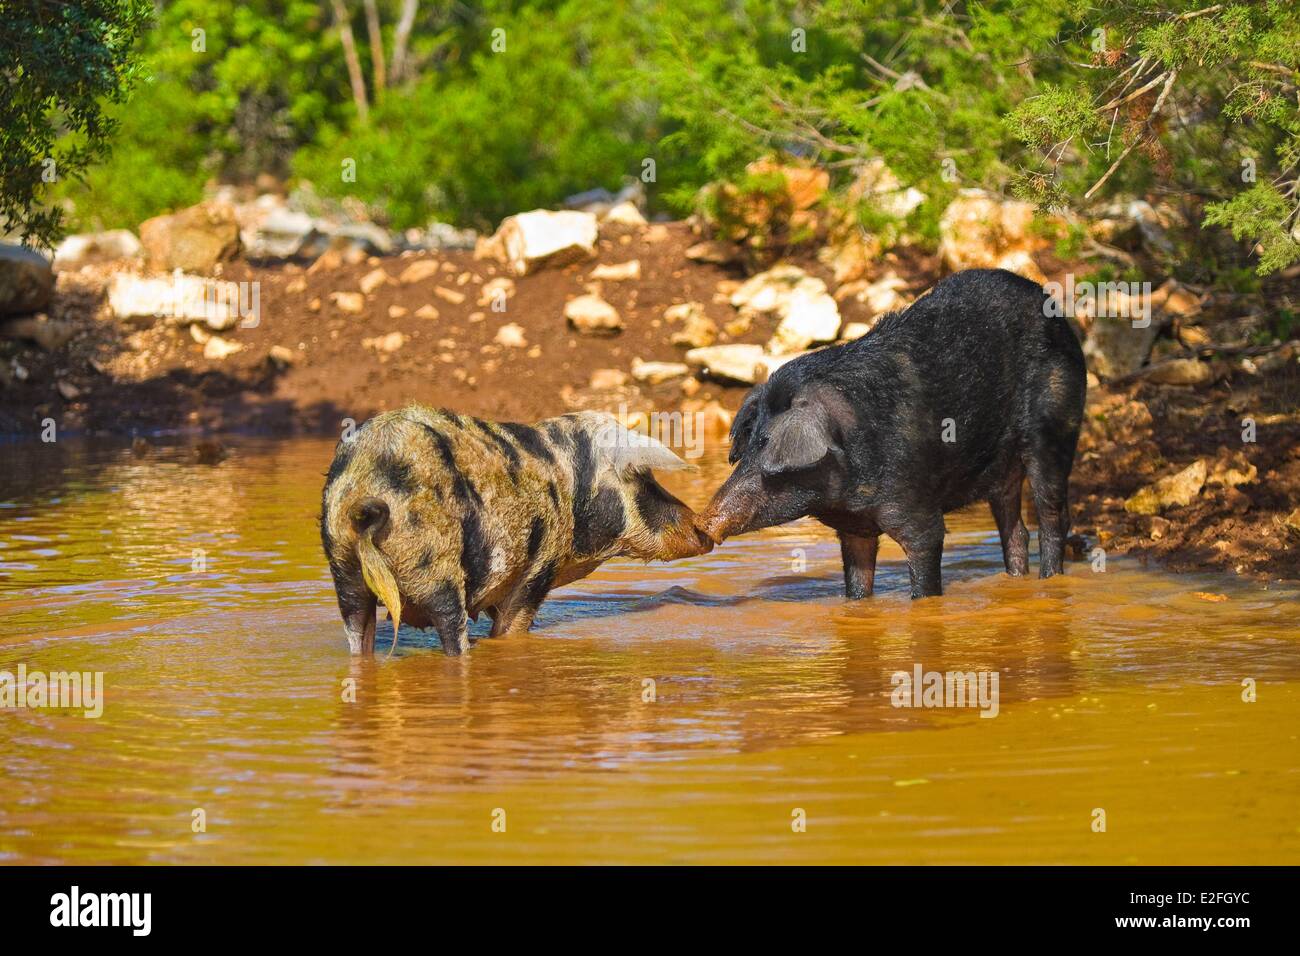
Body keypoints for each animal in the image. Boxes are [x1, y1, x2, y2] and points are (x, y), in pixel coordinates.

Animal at [702, 269, 1086, 598]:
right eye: (746, 449)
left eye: (767, 446)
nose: (706, 521)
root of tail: (1054, 309)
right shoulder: (854, 529)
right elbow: (858, 582)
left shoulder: (918, 512)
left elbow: (925, 565)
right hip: (1003, 470)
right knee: (1016, 530)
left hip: (1054, 429)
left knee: (1052, 517)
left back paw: (1049, 579)